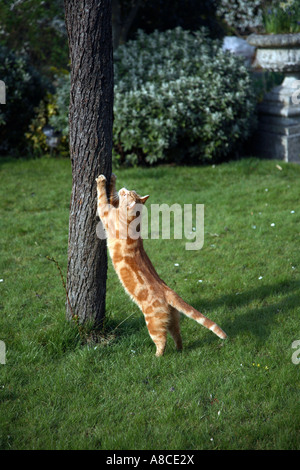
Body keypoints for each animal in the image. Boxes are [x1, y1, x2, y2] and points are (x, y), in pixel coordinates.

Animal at [96, 173, 227, 356]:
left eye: (126, 193)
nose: (124, 189)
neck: (134, 222)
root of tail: (168, 291)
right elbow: (111, 195)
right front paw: (113, 179)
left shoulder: (105, 212)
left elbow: (102, 197)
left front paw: (101, 180)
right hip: (174, 320)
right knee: (178, 336)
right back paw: (179, 351)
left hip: (153, 324)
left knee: (162, 341)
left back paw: (156, 357)